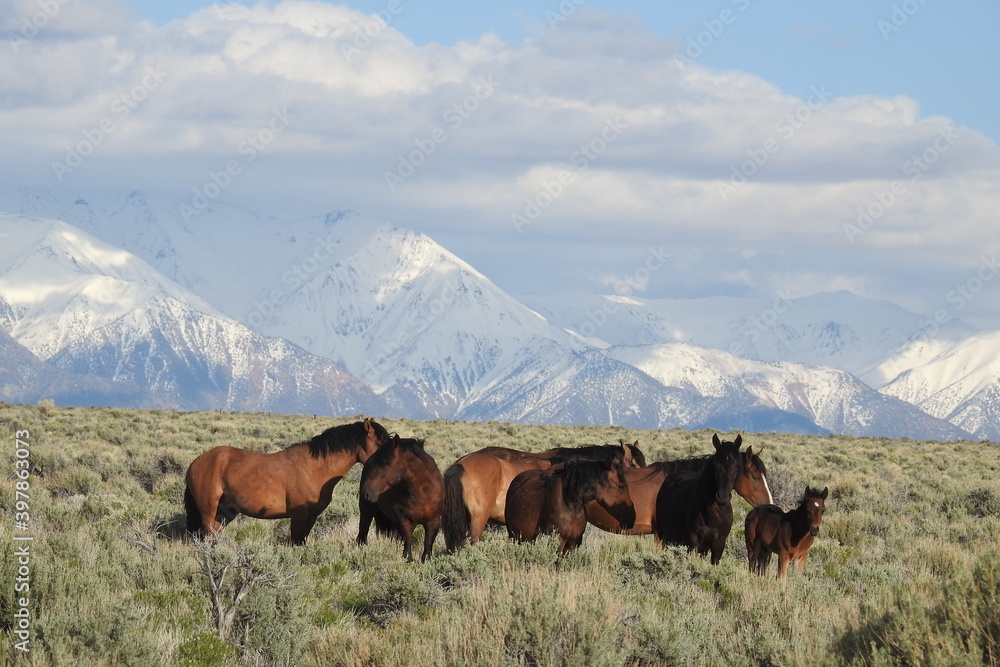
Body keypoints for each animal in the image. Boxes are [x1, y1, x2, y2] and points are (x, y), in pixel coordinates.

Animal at [186, 420, 388, 544]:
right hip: (209, 513)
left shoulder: (311, 517)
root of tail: (195, 463)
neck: (316, 468)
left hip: (223, 515)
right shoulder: (298, 516)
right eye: (381, 444)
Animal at [504, 460, 636, 552]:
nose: (632, 518)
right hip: (513, 535)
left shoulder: (573, 543)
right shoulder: (558, 540)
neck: (570, 505)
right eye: (620, 486)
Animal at [656, 436, 744, 568]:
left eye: (737, 465)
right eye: (715, 464)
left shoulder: (719, 545)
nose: (723, 496)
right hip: (665, 537)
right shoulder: (693, 543)